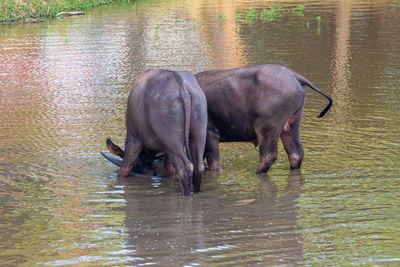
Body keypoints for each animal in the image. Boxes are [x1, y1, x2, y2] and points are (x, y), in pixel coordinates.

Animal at [103, 69, 208, 197]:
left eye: (137, 167)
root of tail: (182, 86)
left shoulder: (134, 138)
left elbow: (124, 169)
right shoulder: (166, 152)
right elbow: (169, 171)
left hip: (171, 139)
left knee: (186, 167)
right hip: (199, 131)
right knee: (199, 166)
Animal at [195, 63, 332, 175]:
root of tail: (293, 74)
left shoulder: (210, 133)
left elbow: (212, 163)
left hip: (267, 127)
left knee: (268, 156)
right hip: (291, 124)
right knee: (296, 152)